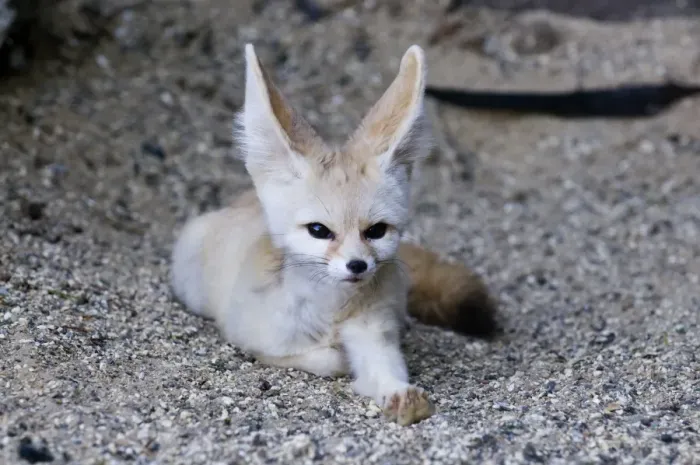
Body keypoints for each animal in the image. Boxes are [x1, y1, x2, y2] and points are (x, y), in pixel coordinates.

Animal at [170, 43, 499, 426]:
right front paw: (337, 357)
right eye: (319, 231)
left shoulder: (375, 335)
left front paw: (398, 394)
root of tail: (245, 199)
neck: (333, 313)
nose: (357, 266)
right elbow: (325, 358)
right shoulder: (251, 336)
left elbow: (385, 370)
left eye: (376, 231)